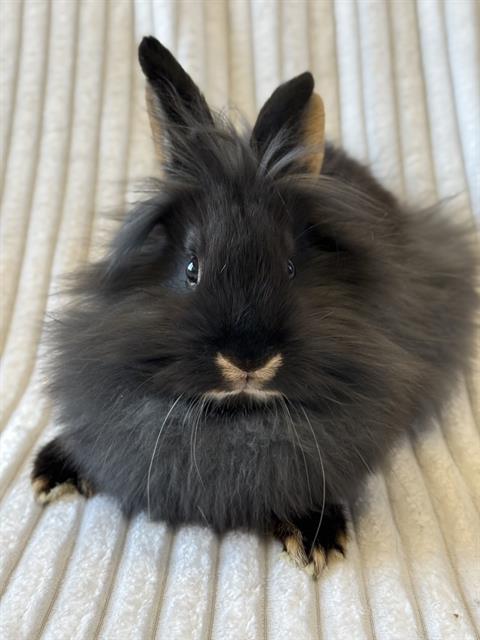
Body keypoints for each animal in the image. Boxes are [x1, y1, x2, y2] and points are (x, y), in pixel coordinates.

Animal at [32, 36, 478, 577]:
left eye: (290, 267)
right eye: (191, 268)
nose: (247, 359)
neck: (236, 417)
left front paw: (314, 536)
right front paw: (55, 469)